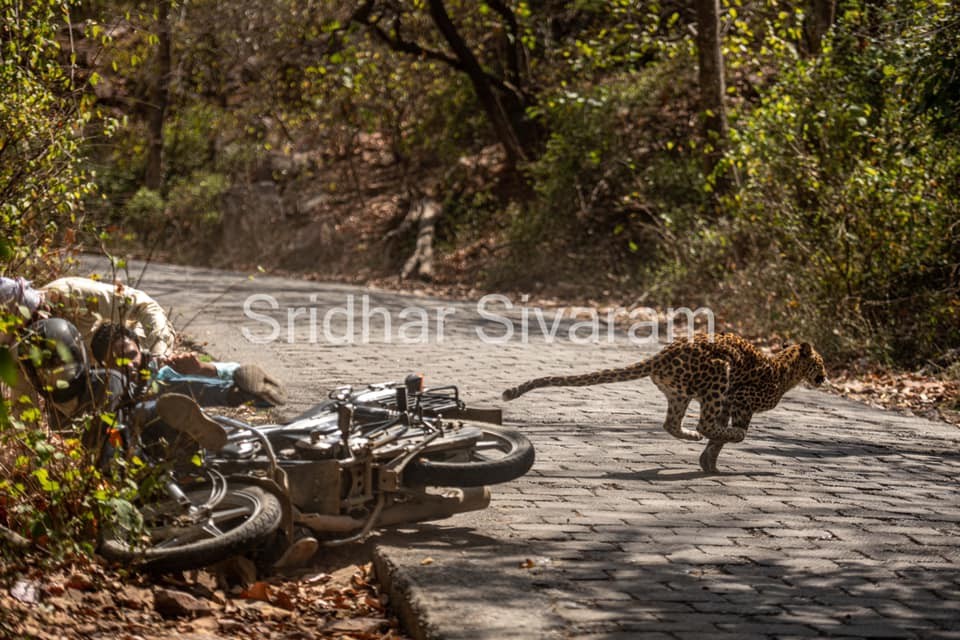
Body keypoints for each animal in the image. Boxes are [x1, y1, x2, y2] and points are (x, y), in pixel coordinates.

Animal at [502, 333, 827, 473]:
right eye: (821, 363)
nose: (825, 377)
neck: (786, 370)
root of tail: (663, 353)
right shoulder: (739, 400)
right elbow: (727, 432)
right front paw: (726, 444)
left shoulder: (729, 404)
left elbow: (717, 438)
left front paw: (709, 463)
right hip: (719, 374)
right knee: (701, 423)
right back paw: (704, 434)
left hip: (680, 394)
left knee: (671, 423)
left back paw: (690, 437)